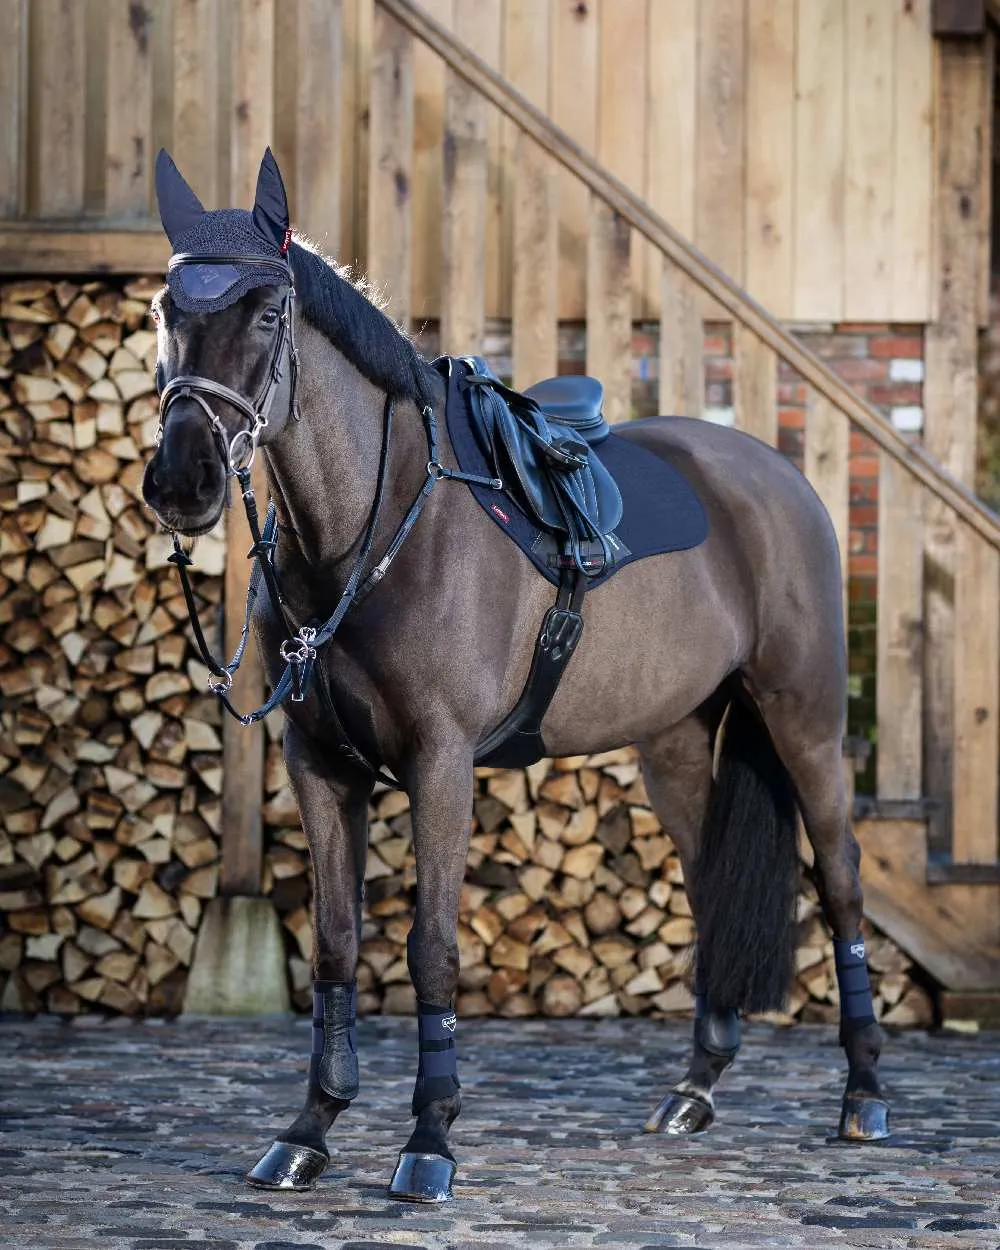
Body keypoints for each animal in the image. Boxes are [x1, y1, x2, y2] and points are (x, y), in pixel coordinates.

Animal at [142, 151, 890, 1205]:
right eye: (167, 306)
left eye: (267, 312)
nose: (182, 482)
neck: (372, 532)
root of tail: (778, 478)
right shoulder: (319, 763)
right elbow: (335, 941)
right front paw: (309, 1131)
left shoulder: (441, 762)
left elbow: (431, 947)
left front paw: (429, 1141)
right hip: (674, 744)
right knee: (708, 882)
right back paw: (694, 1089)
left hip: (805, 723)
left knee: (844, 883)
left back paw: (864, 1097)